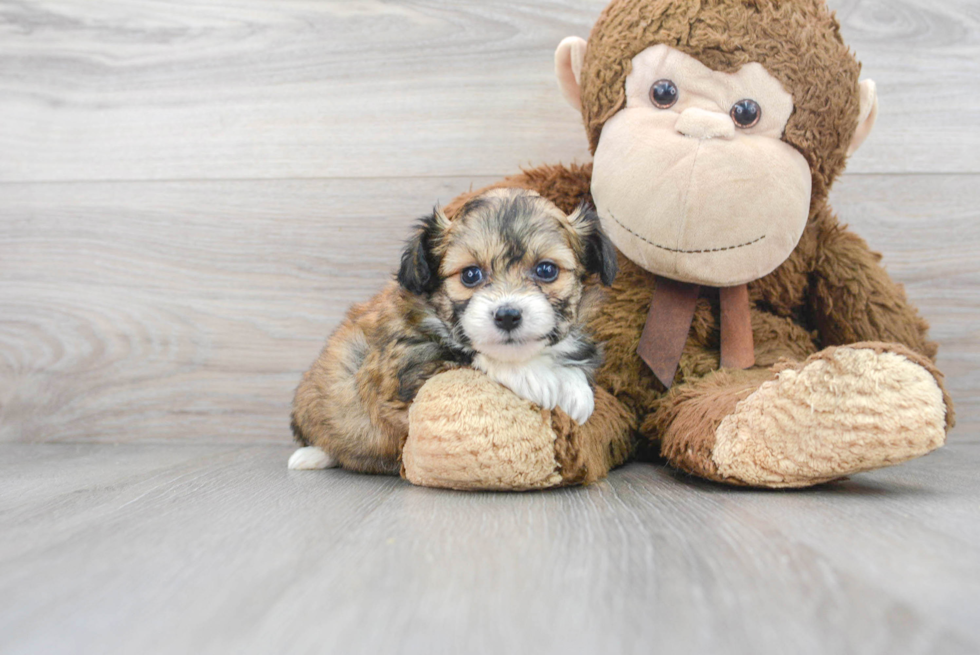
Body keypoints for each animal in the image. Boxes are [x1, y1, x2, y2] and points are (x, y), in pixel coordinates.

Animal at [288, 188, 616, 472]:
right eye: (471, 275)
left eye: (546, 270)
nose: (508, 315)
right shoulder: (405, 369)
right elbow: (468, 357)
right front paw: (535, 375)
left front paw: (575, 389)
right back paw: (311, 456)